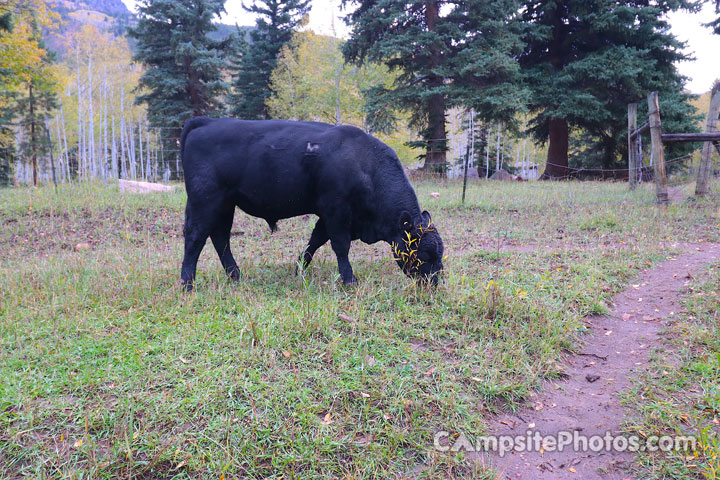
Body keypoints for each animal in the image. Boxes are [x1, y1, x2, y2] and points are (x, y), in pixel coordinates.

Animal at [179, 118, 444, 290]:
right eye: (426, 252)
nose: (435, 282)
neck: (365, 166)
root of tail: (207, 122)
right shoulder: (336, 211)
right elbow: (340, 246)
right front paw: (349, 280)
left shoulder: (328, 217)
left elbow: (315, 240)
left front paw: (299, 269)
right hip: (205, 201)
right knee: (196, 237)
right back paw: (187, 283)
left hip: (225, 204)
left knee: (220, 237)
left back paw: (235, 275)